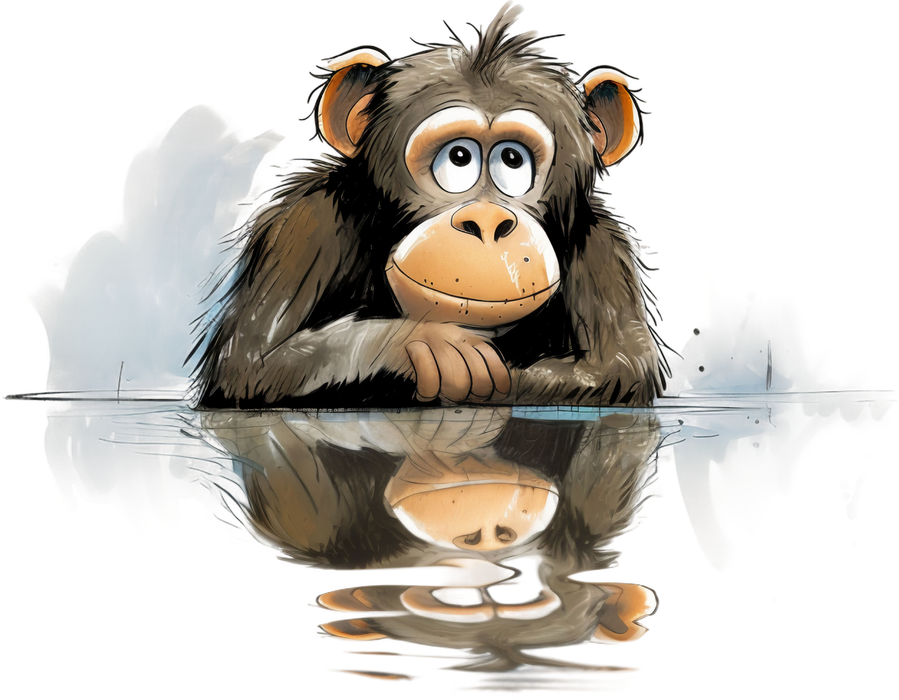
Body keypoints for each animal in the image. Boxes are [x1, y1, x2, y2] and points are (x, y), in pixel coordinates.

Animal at [189, 6, 668, 409]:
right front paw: (424, 343)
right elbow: (251, 363)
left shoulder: (602, 248)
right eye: (458, 158)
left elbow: (616, 372)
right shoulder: (303, 226)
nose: (487, 221)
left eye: (512, 161)